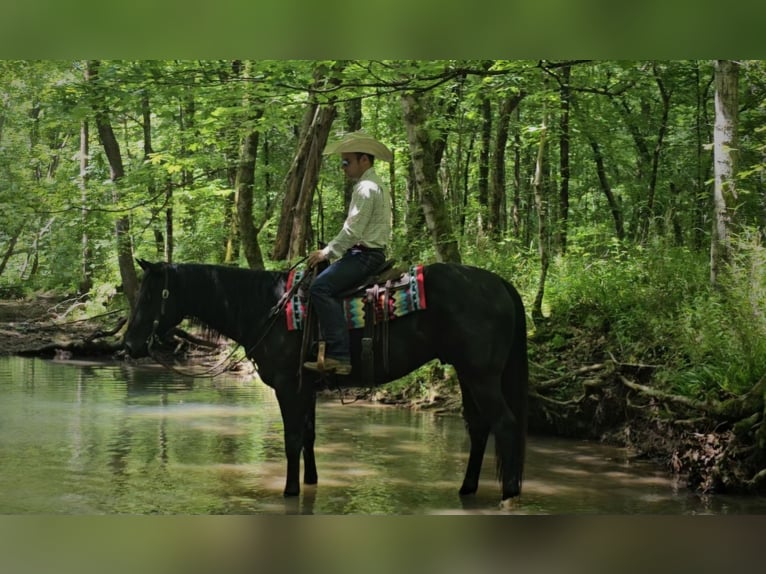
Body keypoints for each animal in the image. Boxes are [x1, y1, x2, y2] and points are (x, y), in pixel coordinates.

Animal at [123, 258, 532, 506]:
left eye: (149, 295)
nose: (128, 345)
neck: (266, 308)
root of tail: (500, 283)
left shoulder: (289, 386)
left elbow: (291, 439)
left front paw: (289, 491)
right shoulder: (308, 389)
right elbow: (308, 436)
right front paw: (311, 483)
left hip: (482, 376)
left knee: (506, 424)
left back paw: (509, 494)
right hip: (466, 373)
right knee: (479, 427)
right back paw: (467, 489)